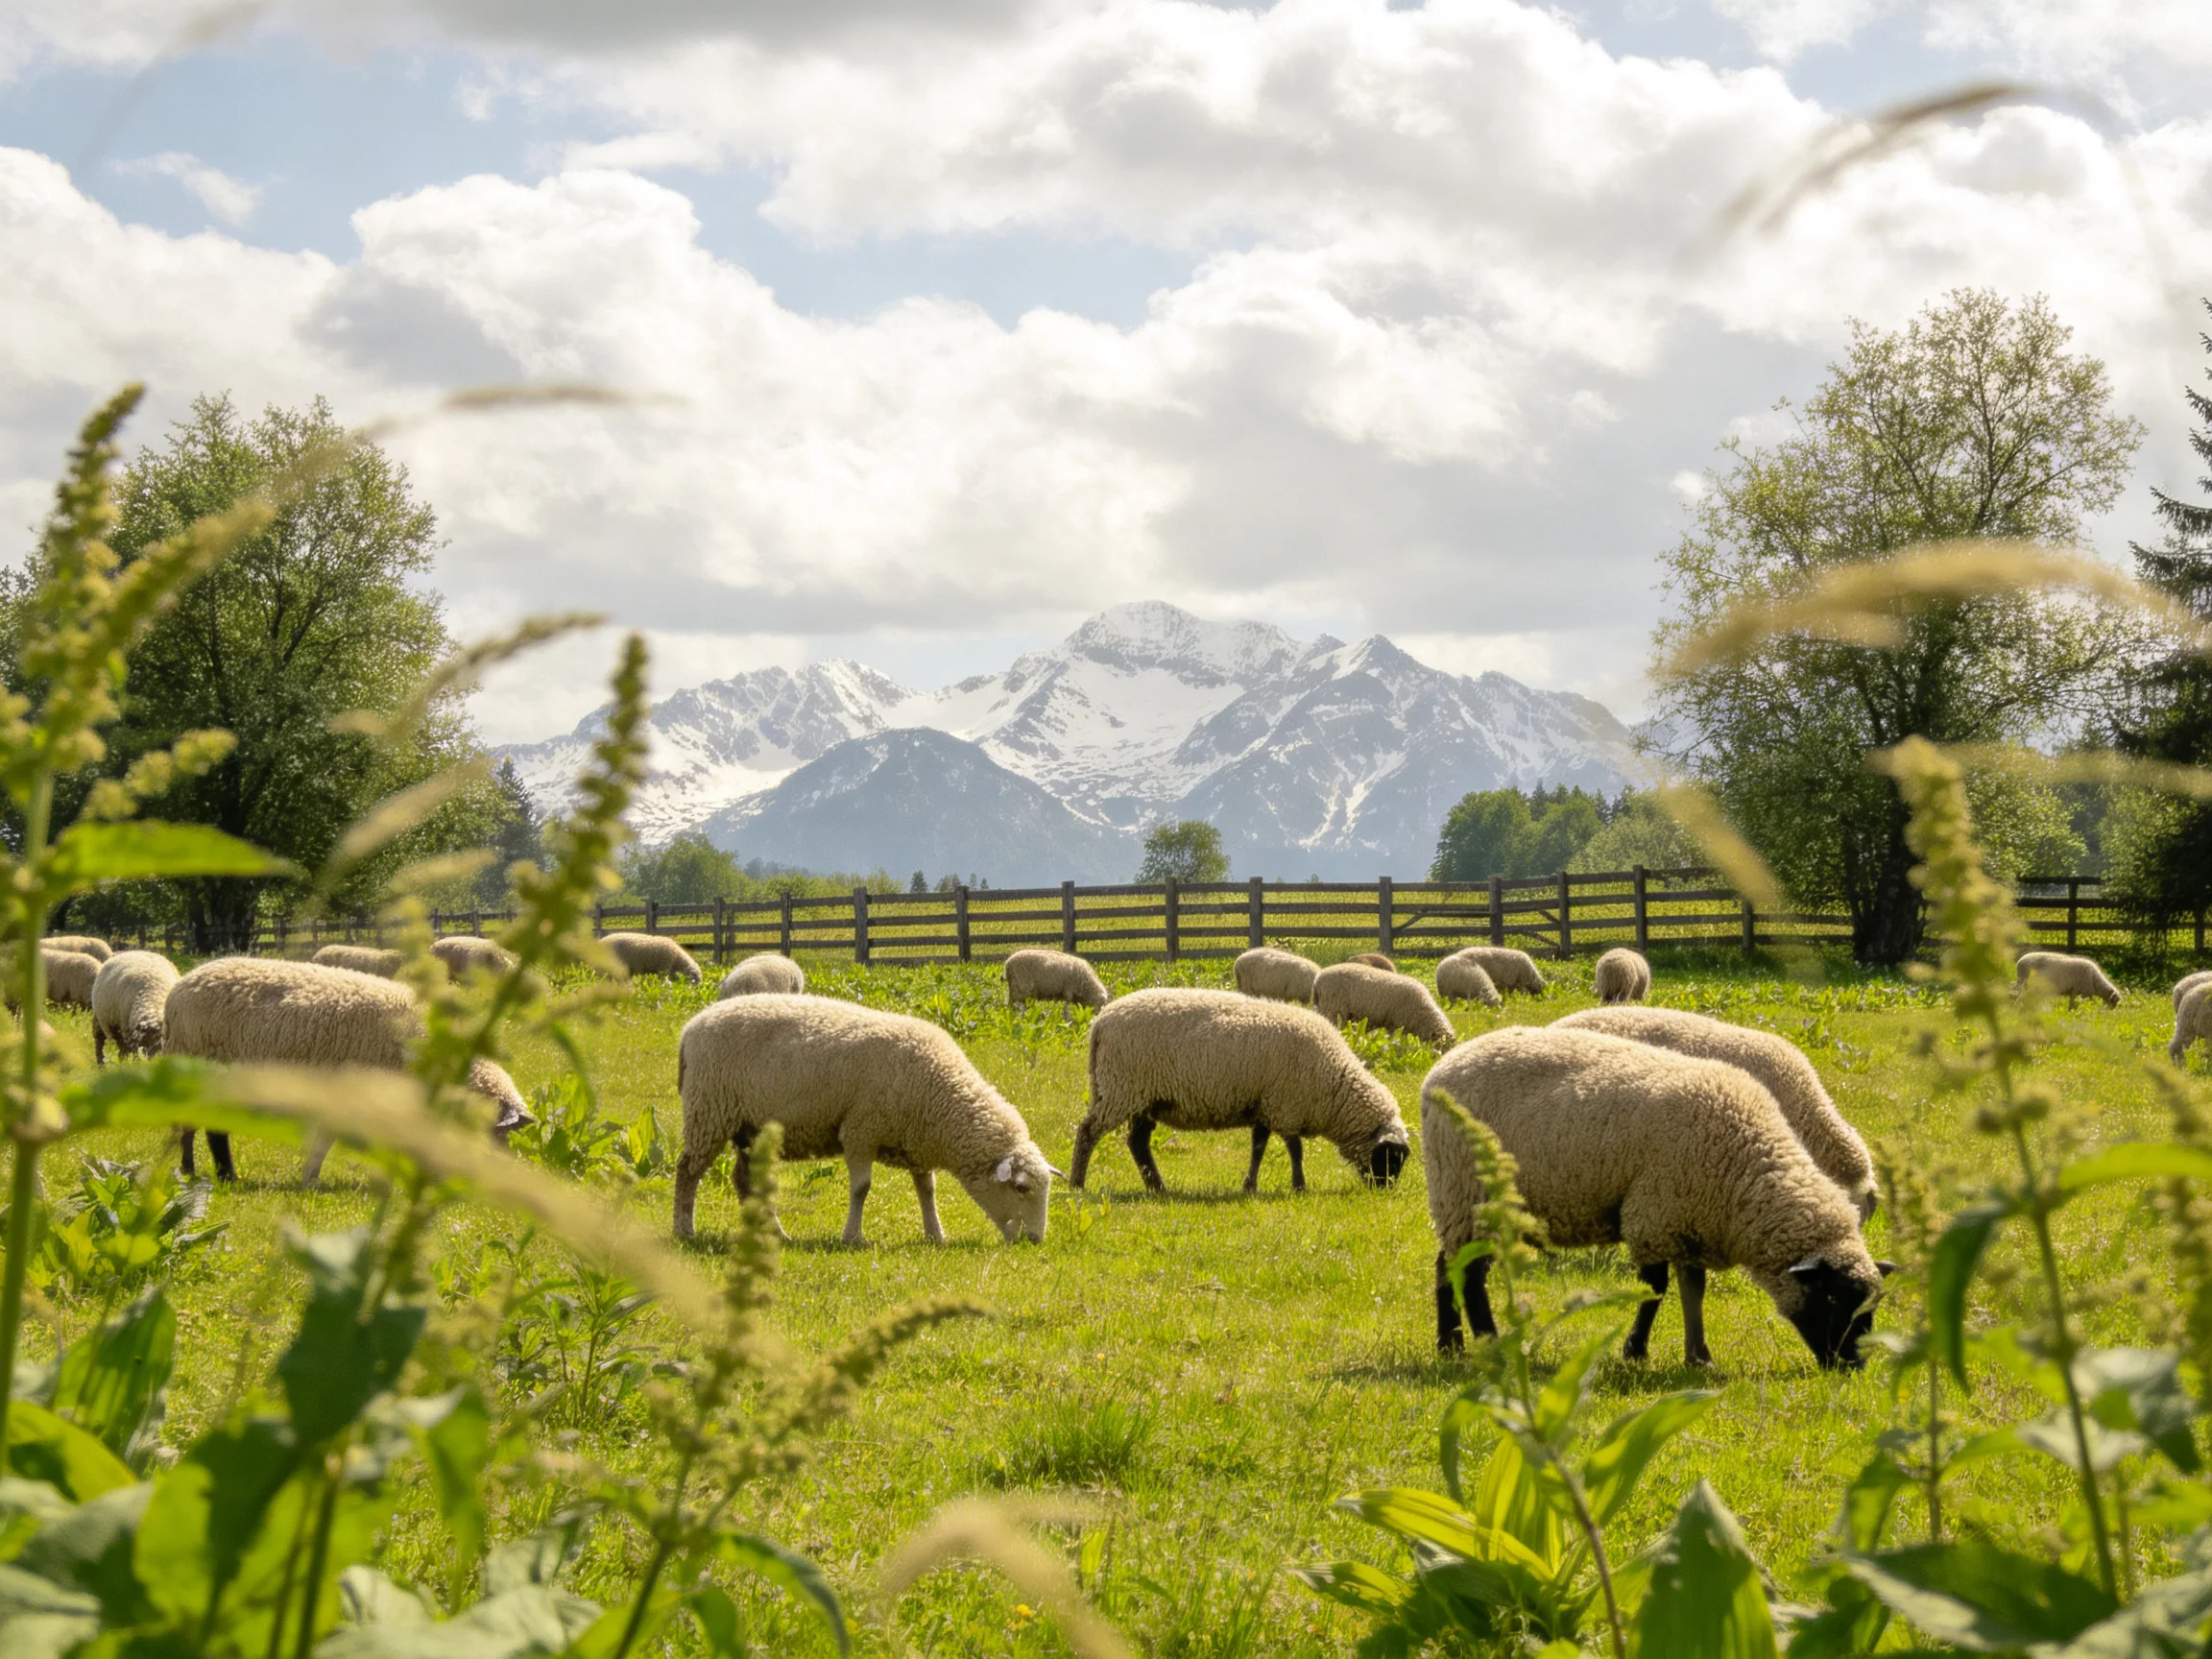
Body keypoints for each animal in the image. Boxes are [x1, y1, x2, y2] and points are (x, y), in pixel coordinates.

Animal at [163, 957, 533, 1183]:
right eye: (499, 1137)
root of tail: (178, 991)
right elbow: (326, 1143)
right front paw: (311, 1180)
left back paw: (200, 1173)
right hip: (204, 1068)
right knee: (204, 1129)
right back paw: (211, 1174)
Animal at [672, 994, 1053, 1245]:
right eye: (1021, 1188)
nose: (1034, 1240)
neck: (941, 1094)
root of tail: (691, 1028)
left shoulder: (915, 1142)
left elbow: (927, 1190)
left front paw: (936, 1235)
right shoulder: (860, 1131)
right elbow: (861, 1188)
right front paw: (853, 1237)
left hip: (747, 1128)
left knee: (743, 1179)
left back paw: (774, 1233)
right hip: (709, 1111)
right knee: (688, 1171)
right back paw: (685, 1230)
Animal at [1073, 988, 1409, 1195]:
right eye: (1390, 1158)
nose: (1385, 1190)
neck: (1334, 1086)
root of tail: (1099, 1022)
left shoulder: (1265, 1104)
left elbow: (1258, 1147)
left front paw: (1250, 1186)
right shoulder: (1286, 1105)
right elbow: (1295, 1149)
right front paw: (1299, 1186)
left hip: (1144, 1097)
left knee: (1138, 1143)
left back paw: (1158, 1187)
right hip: (1122, 1089)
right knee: (1088, 1132)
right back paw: (1078, 1183)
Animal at [1314, 962, 1454, 1047]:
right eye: (1443, 1046)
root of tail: (1318, 979)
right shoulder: (1396, 1024)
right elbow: (1396, 1040)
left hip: (1325, 1008)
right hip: (1333, 1009)